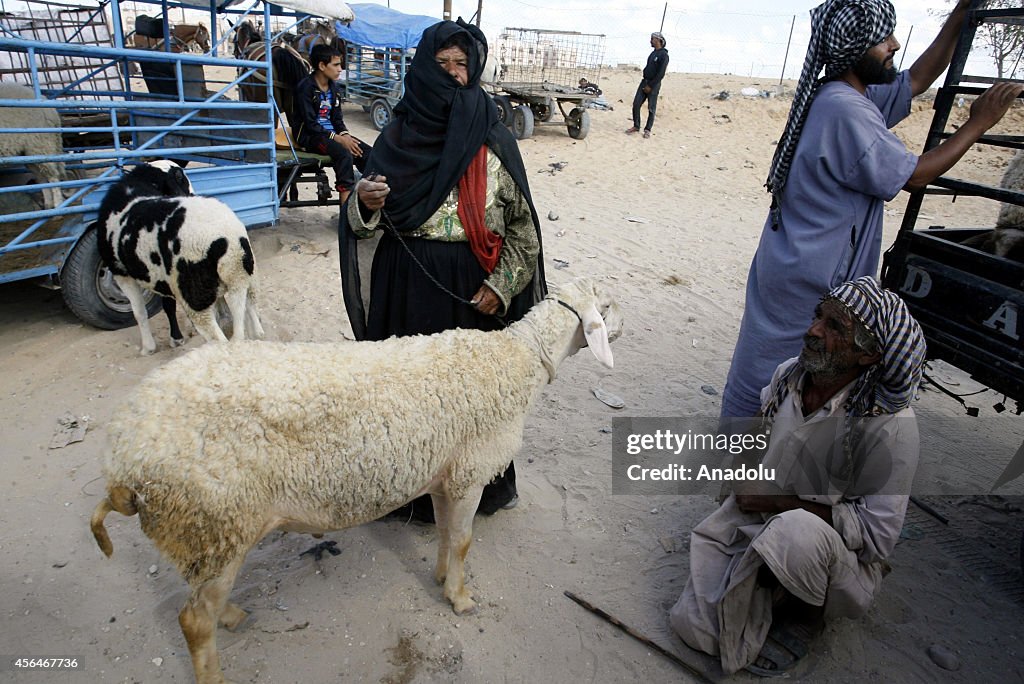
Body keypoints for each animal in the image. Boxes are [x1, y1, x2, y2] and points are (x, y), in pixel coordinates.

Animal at [94, 278, 622, 684]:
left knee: (204, 602)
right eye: (607, 304)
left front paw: (439, 577)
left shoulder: (443, 474)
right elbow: (464, 541)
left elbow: (445, 533)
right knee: (193, 621)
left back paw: (234, 615)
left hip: (207, 533)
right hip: (212, 520)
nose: (624, 324)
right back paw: (215, 670)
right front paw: (460, 598)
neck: (518, 360)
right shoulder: (471, 471)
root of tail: (122, 457)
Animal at [95, 159, 264, 352]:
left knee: (219, 339)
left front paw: (148, 347)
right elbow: (167, 305)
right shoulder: (160, 276)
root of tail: (228, 237)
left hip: (195, 297)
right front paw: (175, 338)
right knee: (249, 321)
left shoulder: (121, 273)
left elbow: (139, 312)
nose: (190, 194)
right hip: (243, 277)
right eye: (181, 180)